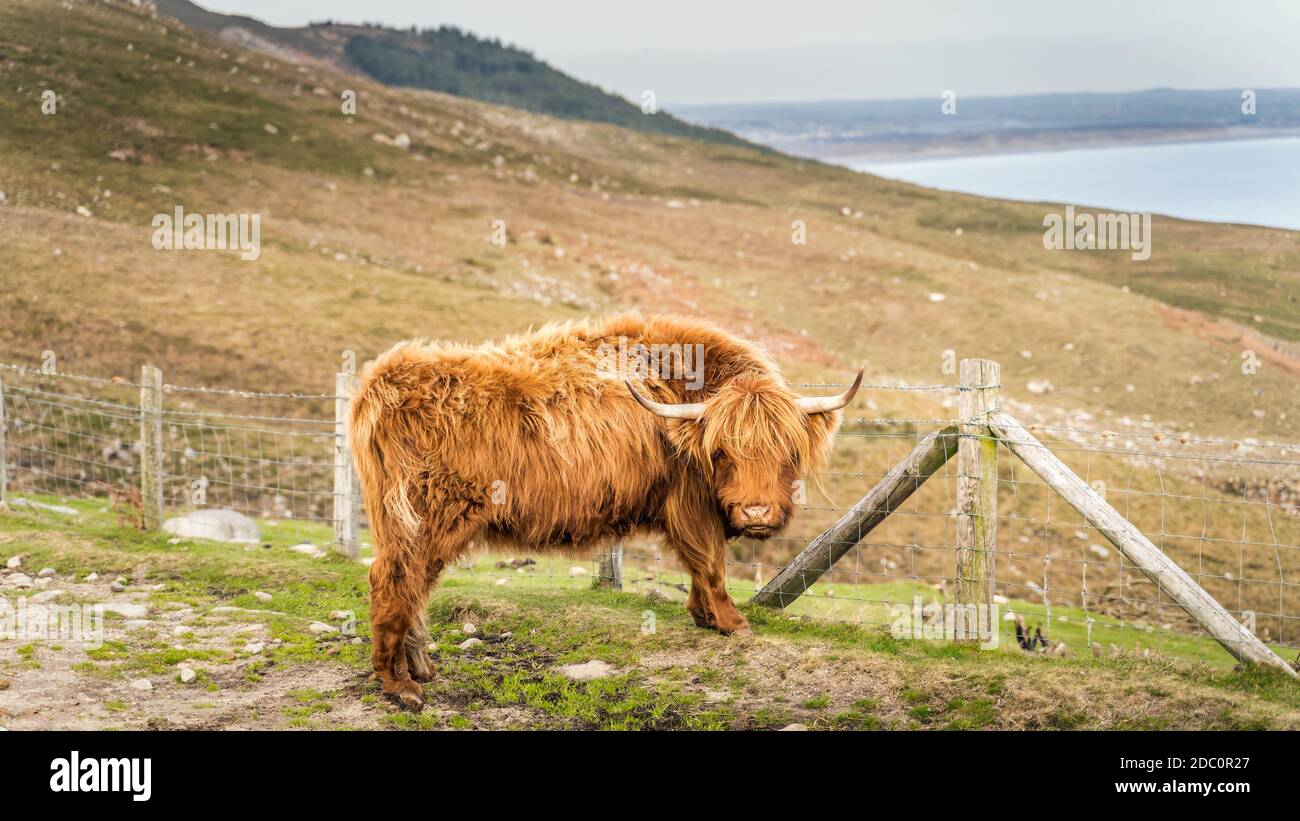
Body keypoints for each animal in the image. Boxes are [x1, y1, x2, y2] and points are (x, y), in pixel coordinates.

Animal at [353, 310, 863, 706]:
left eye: (787, 452)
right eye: (723, 453)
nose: (756, 513)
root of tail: (382, 381)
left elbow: (699, 566)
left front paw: (703, 617)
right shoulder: (691, 502)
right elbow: (710, 562)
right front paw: (733, 623)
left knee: (413, 585)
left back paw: (421, 667)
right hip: (424, 516)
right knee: (394, 581)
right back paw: (400, 686)